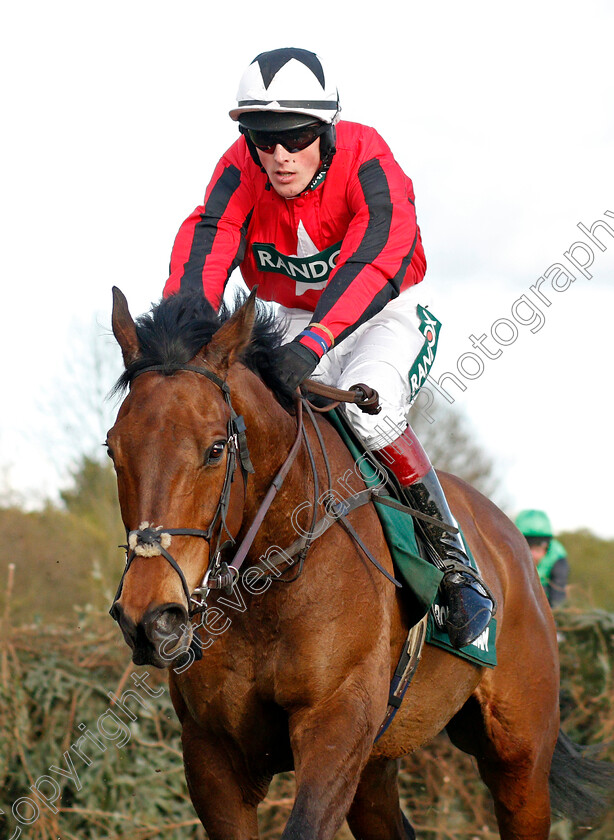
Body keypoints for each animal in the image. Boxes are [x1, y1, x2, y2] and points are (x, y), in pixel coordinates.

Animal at [108, 286, 612, 836]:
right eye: (113, 449)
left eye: (216, 448)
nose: (150, 619)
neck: (269, 585)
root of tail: (512, 543)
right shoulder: (212, 753)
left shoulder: (337, 720)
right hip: (376, 767)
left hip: (521, 759)